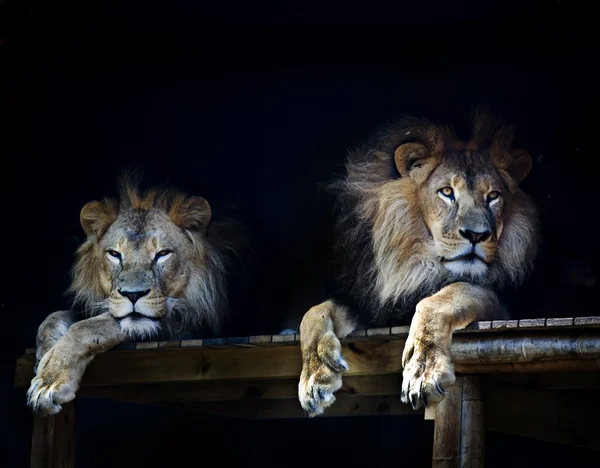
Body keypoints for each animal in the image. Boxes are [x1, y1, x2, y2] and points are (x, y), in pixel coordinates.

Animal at [27, 177, 239, 414]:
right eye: (115, 254)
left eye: (162, 254)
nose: (133, 294)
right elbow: (51, 319)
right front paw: (44, 356)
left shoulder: (187, 324)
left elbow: (86, 327)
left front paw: (49, 381)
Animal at [290, 110, 540, 416]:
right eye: (447, 192)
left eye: (493, 196)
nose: (476, 235)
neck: (418, 266)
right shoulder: (374, 304)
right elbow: (313, 313)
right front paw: (315, 377)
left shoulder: (503, 305)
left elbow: (441, 299)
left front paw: (423, 371)